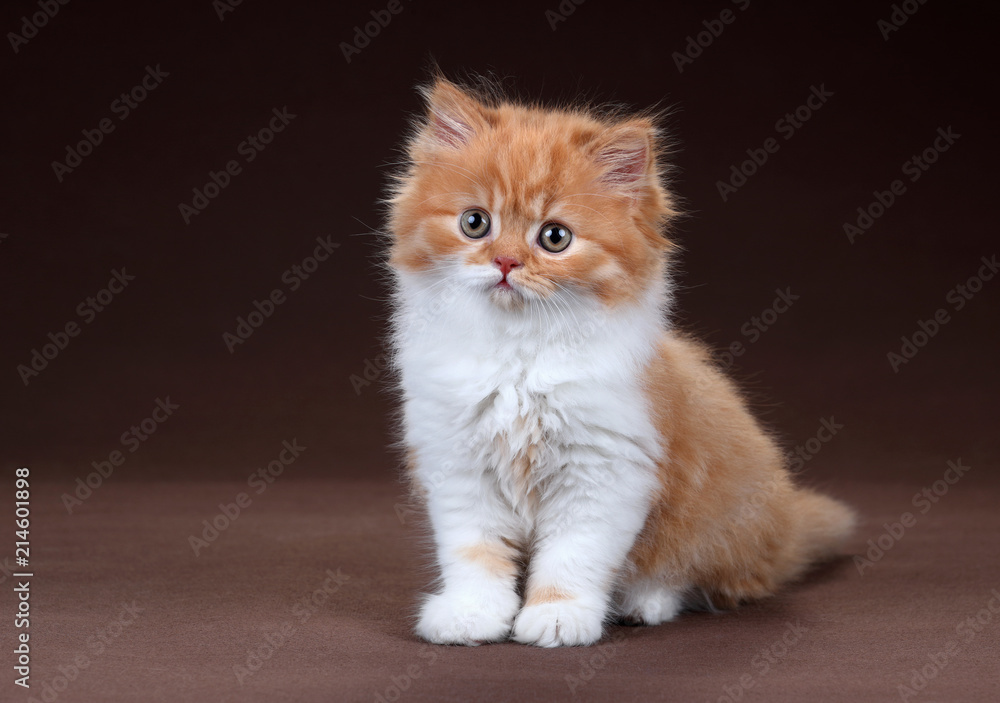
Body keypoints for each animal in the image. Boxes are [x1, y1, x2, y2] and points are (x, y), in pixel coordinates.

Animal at [382, 77, 852, 648]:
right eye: (475, 223)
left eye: (554, 237)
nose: (506, 262)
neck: (518, 356)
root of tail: (785, 525)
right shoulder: (457, 463)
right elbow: (475, 554)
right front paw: (471, 615)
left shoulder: (605, 469)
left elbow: (571, 558)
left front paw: (557, 617)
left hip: (717, 526)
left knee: (696, 578)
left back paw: (643, 603)